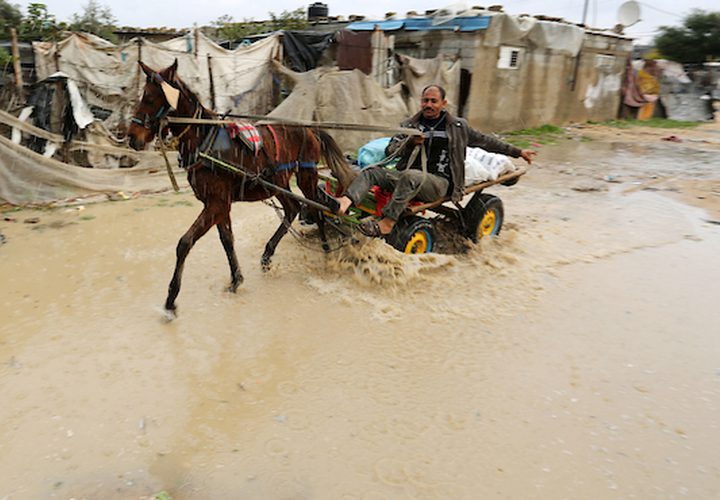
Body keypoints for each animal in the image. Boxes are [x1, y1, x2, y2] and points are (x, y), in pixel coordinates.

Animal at [129, 59, 358, 316]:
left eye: (149, 98)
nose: (131, 137)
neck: (204, 138)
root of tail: (310, 129)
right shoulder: (219, 204)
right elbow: (227, 240)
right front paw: (236, 279)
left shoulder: (217, 203)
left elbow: (185, 243)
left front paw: (171, 298)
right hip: (278, 183)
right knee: (295, 208)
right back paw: (268, 255)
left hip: (306, 175)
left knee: (317, 210)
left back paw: (326, 252)